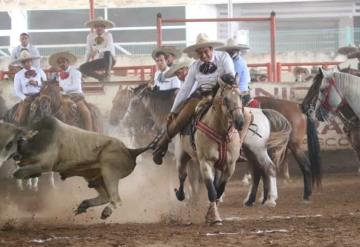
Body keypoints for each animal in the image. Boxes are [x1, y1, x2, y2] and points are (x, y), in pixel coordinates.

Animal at [0, 116, 153, 219]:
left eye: (10, 143)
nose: (0, 160)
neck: (37, 140)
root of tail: (130, 150)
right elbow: (20, 173)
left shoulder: (45, 165)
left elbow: (17, 173)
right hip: (93, 177)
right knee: (105, 196)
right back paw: (84, 205)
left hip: (110, 174)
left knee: (116, 199)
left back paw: (106, 211)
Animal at [173, 74, 292, 225]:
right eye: (225, 98)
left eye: (240, 96)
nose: (240, 122)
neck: (220, 131)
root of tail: (264, 113)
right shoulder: (206, 162)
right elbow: (212, 190)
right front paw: (213, 214)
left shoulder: (230, 165)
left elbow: (218, 189)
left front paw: (213, 214)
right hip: (183, 155)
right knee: (182, 175)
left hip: (258, 151)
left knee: (268, 168)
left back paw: (270, 199)